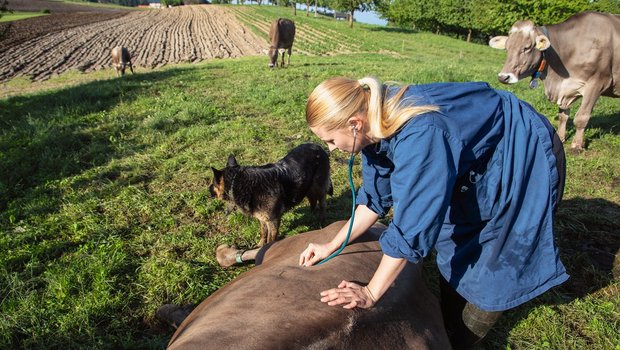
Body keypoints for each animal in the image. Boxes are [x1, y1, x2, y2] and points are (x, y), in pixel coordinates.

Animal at [490, 11, 620, 152]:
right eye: (507, 48)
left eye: (527, 48)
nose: (503, 77)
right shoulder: (565, 89)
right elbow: (563, 115)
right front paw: (560, 137)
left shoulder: (598, 83)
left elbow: (581, 117)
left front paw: (577, 146)